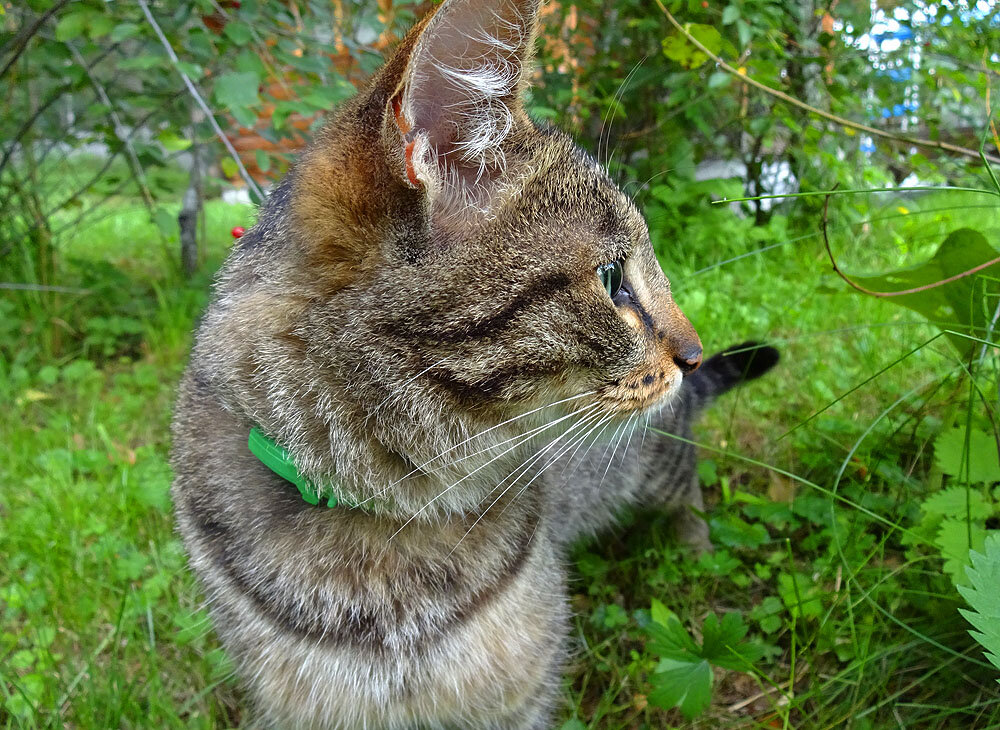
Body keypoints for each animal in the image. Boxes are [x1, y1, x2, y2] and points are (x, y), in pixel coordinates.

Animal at [172, 0, 780, 724]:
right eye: (611, 278)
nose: (693, 353)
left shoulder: (521, 698)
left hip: (660, 464)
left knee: (689, 493)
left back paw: (697, 552)